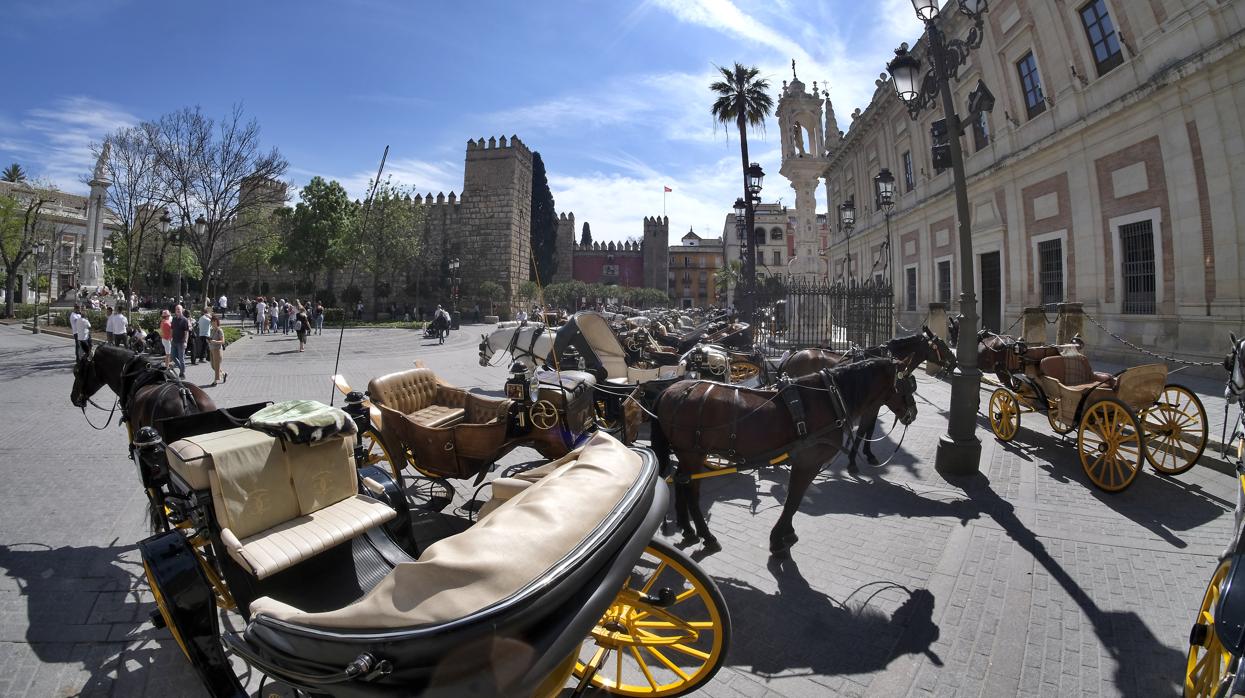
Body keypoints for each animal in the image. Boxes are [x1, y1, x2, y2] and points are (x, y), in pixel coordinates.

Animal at [647, 355, 921, 557]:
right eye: (908, 384)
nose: (913, 414)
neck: (831, 397)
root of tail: (670, 391)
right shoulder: (808, 464)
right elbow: (793, 501)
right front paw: (779, 538)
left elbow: (794, 501)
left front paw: (785, 533)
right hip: (693, 453)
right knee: (692, 494)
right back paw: (707, 536)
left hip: (686, 454)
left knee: (680, 481)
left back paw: (688, 529)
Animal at [776, 328, 951, 470]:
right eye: (942, 345)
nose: (954, 362)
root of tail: (792, 356)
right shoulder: (872, 406)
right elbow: (864, 429)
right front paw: (853, 459)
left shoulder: (876, 405)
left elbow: (870, 429)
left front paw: (868, 453)